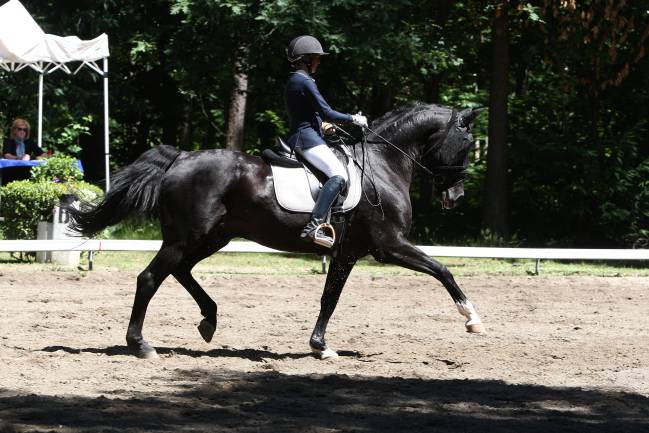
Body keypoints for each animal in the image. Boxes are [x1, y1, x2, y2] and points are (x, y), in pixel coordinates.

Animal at [69, 103, 485, 360]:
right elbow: (443, 270)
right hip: (186, 237)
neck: (382, 166)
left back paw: (209, 319)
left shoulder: (348, 252)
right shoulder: (389, 246)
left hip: (211, 237)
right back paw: (141, 345)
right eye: (466, 143)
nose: (457, 196)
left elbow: (329, 299)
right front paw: (472, 320)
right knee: (151, 278)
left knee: (181, 271)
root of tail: (182, 157)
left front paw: (320, 346)